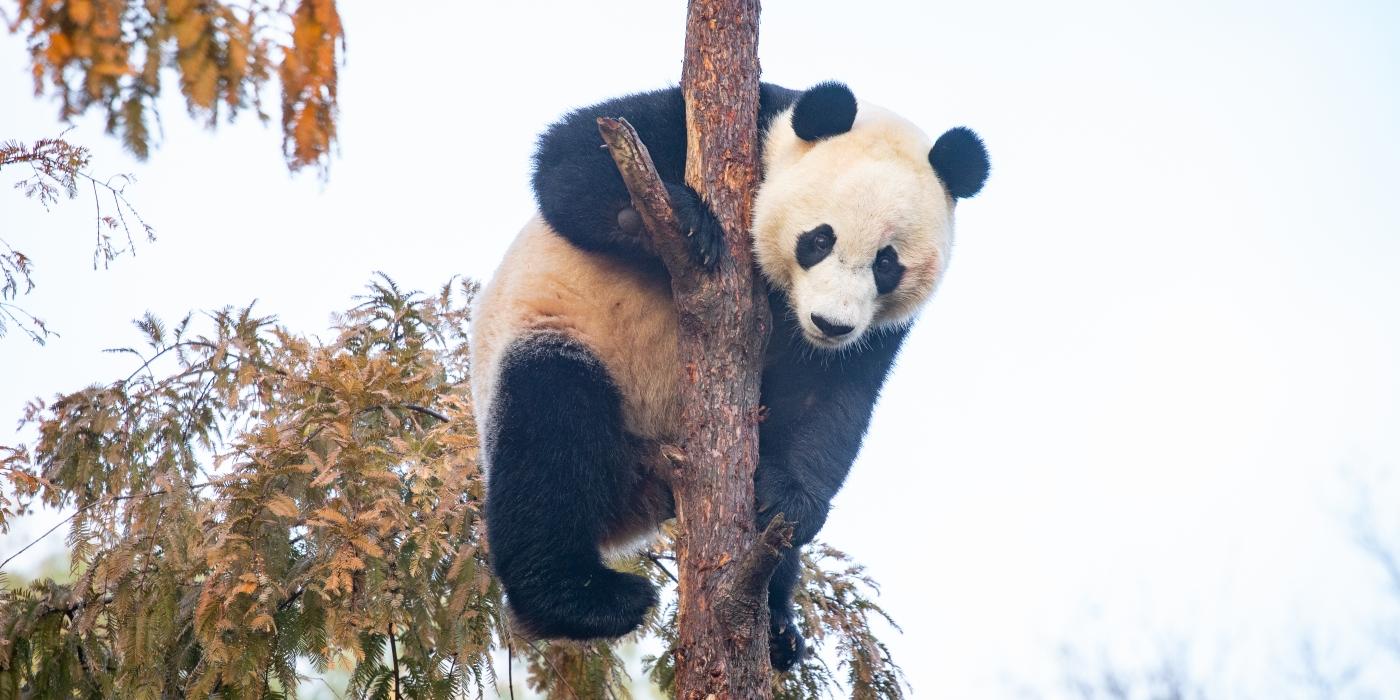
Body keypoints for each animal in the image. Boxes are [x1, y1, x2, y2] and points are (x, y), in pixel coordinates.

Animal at [470, 79, 985, 669]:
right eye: (819, 240)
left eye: (886, 263)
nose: (830, 323)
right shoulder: (712, 125)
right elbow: (567, 160)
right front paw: (679, 220)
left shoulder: (871, 334)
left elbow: (829, 402)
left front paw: (789, 499)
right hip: (560, 338)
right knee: (551, 434)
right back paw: (583, 599)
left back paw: (778, 627)